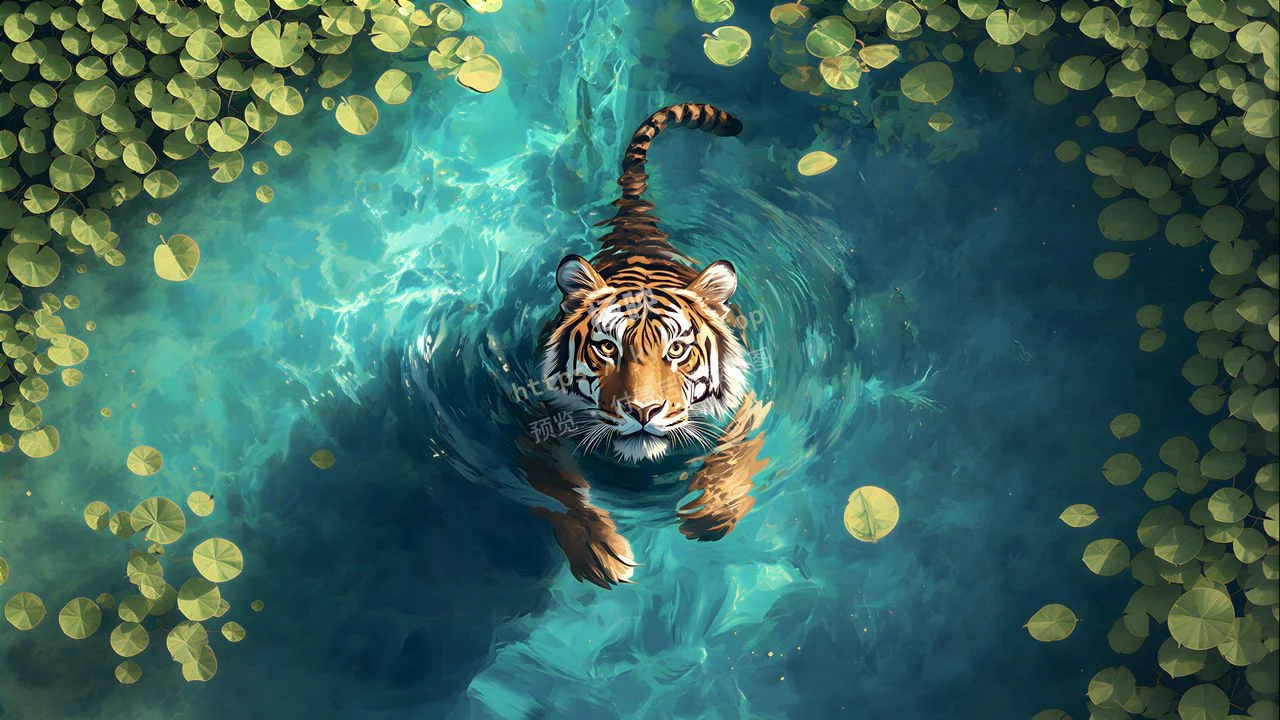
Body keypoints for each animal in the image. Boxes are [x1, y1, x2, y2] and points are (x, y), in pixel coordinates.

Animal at [519, 103, 772, 590]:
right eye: (607, 349)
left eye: (676, 351)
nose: (643, 411)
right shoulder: (533, 422)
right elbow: (561, 489)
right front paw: (598, 550)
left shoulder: (751, 404)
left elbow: (734, 455)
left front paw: (710, 510)